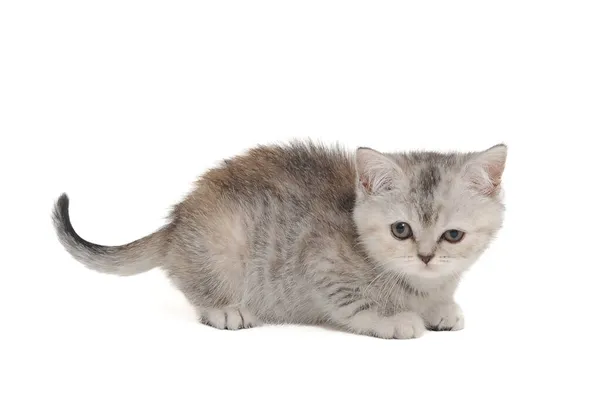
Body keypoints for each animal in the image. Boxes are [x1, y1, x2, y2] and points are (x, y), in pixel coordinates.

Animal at [52, 140, 506, 338]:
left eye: (452, 236)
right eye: (401, 230)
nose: (426, 256)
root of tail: (177, 219)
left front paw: (443, 309)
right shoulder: (319, 265)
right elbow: (359, 306)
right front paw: (396, 318)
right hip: (223, 242)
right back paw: (225, 310)